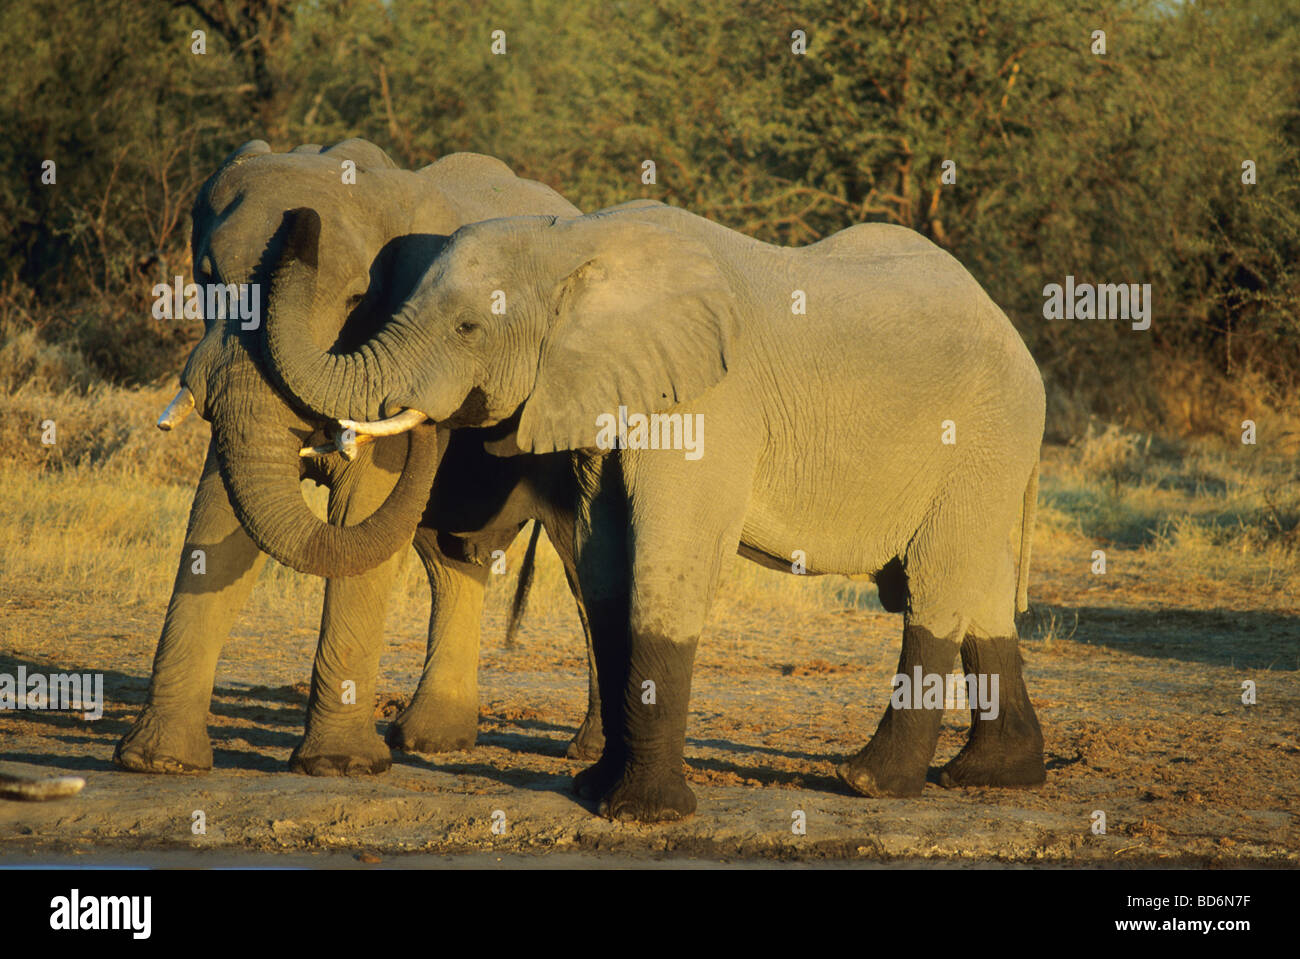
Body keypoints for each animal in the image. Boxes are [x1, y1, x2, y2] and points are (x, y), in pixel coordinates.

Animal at [111, 138, 603, 774]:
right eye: (206, 279)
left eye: (354, 299)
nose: (300, 225)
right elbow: (220, 516)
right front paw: (157, 762)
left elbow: (359, 505)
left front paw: (338, 766)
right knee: (450, 560)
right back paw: (430, 742)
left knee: (582, 560)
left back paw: (586, 751)